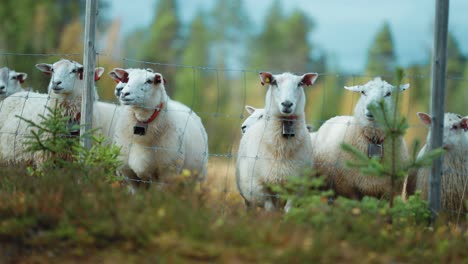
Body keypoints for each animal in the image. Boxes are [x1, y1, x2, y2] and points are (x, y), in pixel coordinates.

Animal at [234, 71, 318, 211]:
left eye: (300, 84)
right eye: (274, 82)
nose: (287, 104)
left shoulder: (297, 188)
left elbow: (288, 211)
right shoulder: (260, 187)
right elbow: (270, 210)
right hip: (248, 194)